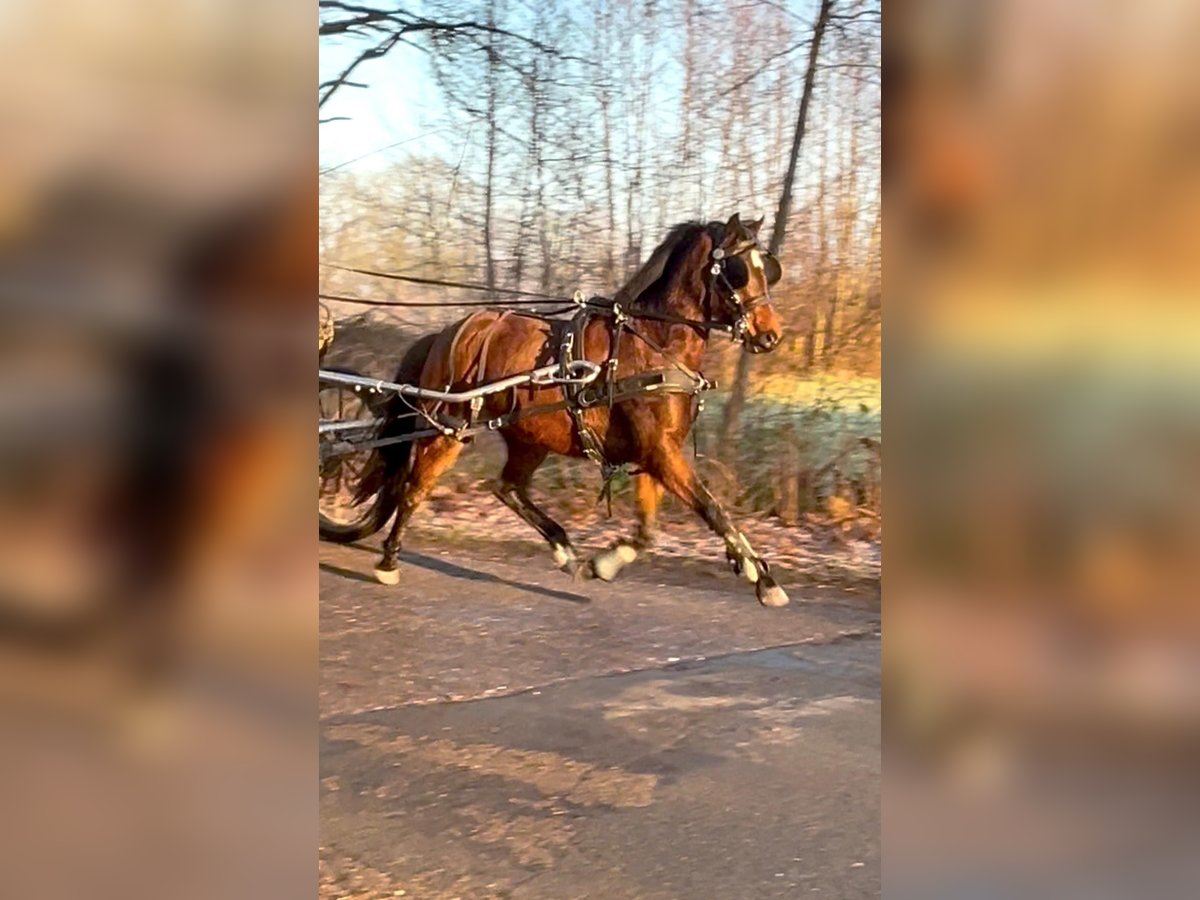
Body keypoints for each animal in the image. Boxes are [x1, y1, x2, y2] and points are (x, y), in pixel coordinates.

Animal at [345, 213, 787, 607]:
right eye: (738, 270)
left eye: (768, 269)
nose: (770, 335)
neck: (652, 344)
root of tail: (448, 331)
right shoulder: (660, 452)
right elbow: (711, 508)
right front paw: (762, 578)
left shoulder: (656, 454)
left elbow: (647, 530)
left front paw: (605, 562)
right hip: (448, 429)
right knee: (415, 489)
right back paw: (388, 561)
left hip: (529, 437)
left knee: (506, 487)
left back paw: (564, 550)